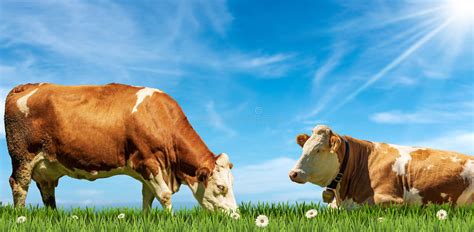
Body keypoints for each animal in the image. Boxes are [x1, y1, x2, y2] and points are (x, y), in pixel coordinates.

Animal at [4, 83, 239, 212]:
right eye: (221, 187)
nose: (236, 216)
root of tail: (26, 86)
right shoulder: (149, 161)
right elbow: (164, 195)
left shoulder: (147, 169)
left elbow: (147, 197)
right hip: (22, 157)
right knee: (19, 185)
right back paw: (20, 218)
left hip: (46, 167)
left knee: (47, 192)